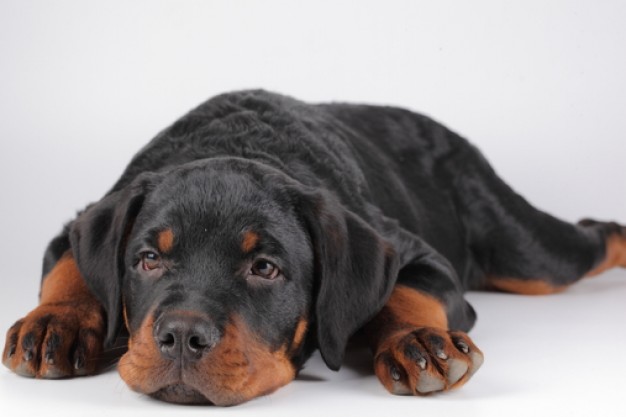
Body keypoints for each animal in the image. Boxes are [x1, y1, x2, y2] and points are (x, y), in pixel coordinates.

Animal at [1, 90, 624, 404]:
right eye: (148, 260)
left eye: (265, 268)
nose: (180, 337)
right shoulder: (85, 218)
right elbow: (70, 267)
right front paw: (56, 323)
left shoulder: (416, 254)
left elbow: (404, 293)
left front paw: (418, 343)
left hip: (528, 252)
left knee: (590, 237)